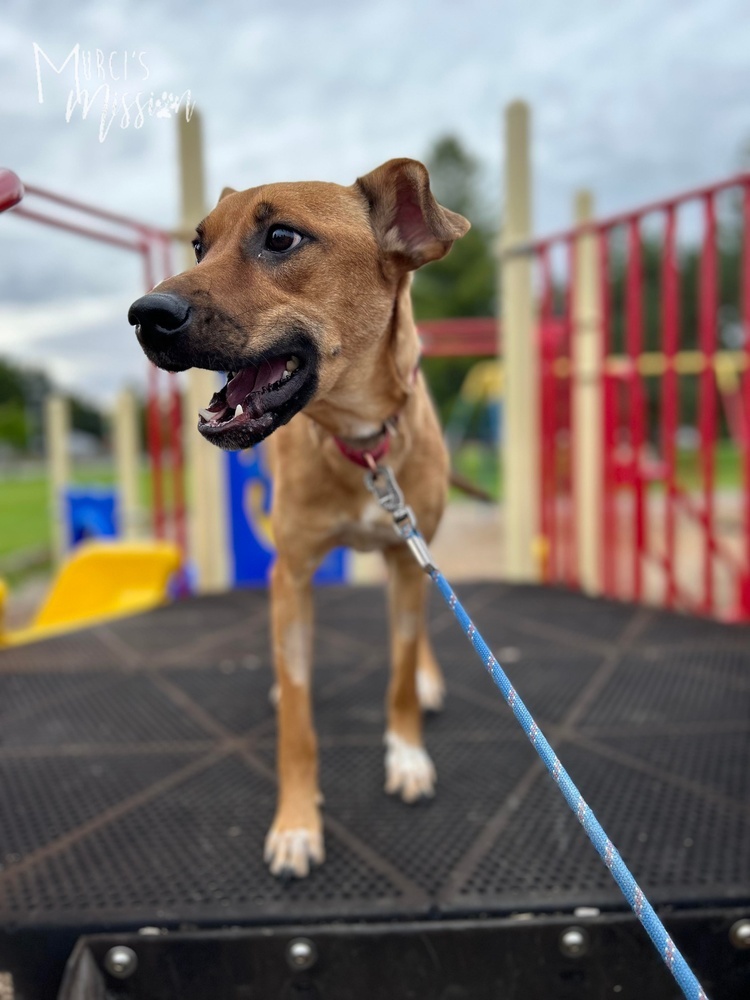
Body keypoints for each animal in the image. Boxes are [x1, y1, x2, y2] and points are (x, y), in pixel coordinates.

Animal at [129, 156, 470, 876]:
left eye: (281, 238)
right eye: (199, 245)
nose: (144, 314)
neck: (359, 442)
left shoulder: (408, 560)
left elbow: (400, 675)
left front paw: (407, 752)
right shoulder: (290, 573)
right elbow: (298, 721)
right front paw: (295, 823)